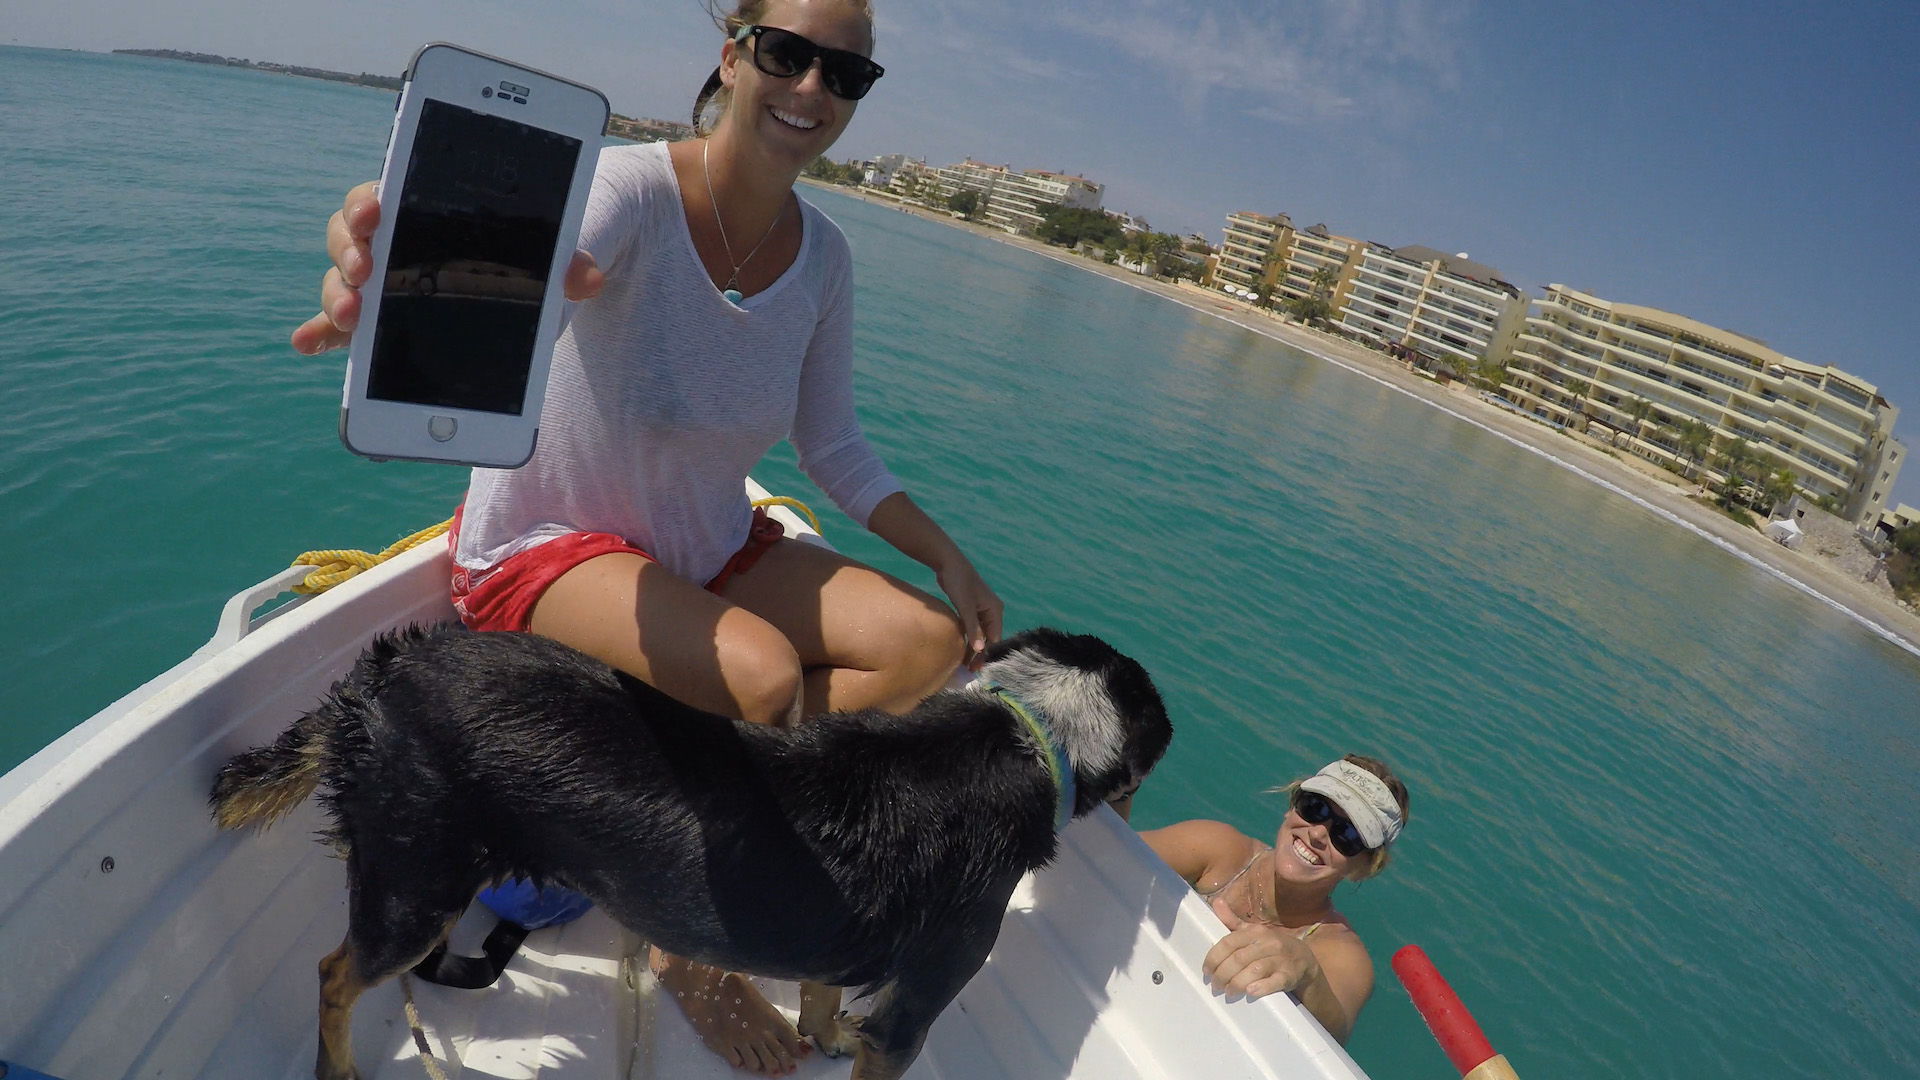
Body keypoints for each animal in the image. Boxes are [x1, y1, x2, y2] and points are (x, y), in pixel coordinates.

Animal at [211, 623, 1171, 1080]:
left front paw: (823, 1035)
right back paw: (338, 1069)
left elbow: (822, 997)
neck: (1029, 733)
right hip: (417, 883)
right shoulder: (921, 1001)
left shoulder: (834, 942)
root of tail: (385, 674)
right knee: (334, 975)